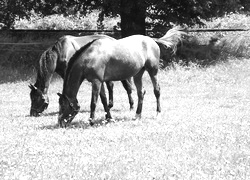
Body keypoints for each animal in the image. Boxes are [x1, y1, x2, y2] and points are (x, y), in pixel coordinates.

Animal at [57, 26, 186, 128]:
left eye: (63, 106)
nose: (60, 123)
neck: (91, 55)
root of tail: (151, 40)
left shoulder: (96, 81)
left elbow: (93, 102)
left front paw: (91, 121)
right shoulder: (100, 81)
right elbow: (104, 100)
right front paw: (109, 118)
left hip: (153, 71)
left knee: (157, 90)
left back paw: (158, 114)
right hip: (138, 74)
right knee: (141, 92)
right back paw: (137, 115)